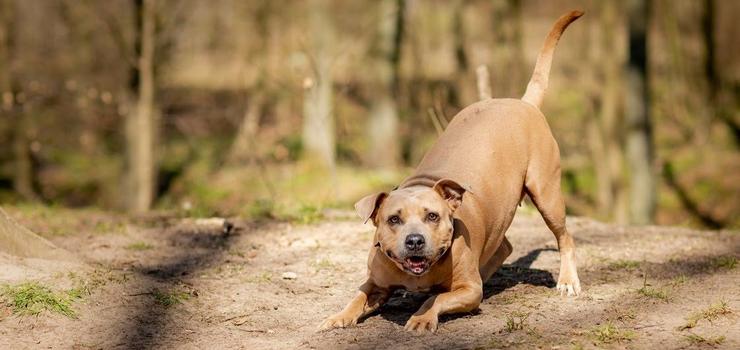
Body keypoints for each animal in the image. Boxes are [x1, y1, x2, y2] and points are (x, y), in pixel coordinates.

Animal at [318, 10, 584, 334]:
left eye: (433, 216)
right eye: (393, 219)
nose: (415, 241)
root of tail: (523, 103)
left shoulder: (468, 290)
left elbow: (436, 298)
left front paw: (422, 317)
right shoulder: (374, 284)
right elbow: (357, 298)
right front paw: (337, 317)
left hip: (547, 194)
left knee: (564, 237)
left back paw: (567, 280)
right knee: (504, 245)